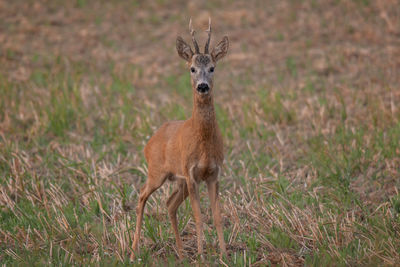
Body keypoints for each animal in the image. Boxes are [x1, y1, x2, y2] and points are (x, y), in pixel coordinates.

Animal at [131, 17, 228, 260]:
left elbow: (217, 216)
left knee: (169, 204)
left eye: (212, 68)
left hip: (179, 180)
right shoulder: (192, 173)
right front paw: (202, 255)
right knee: (141, 197)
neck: (203, 142)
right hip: (156, 172)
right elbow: (198, 216)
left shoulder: (213, 173)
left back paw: (182, 253)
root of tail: (150, 142)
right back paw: (133, 251)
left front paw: (224, 254)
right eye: (192, 68)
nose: (202, 86)